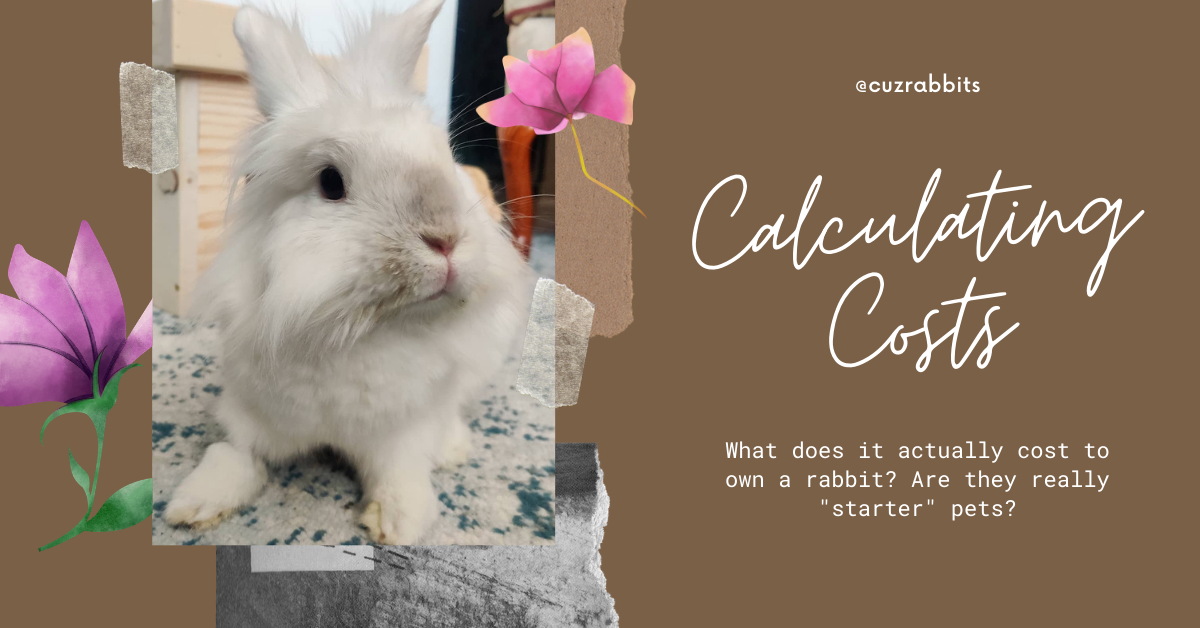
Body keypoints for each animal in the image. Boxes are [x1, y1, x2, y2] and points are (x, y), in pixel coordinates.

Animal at [163, 0, 533, 544]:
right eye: (331, 182)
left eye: (445, 159)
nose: (445, 238)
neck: (358, 330)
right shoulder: (250, 409)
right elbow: (234, 453)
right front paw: (193, 503)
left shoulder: (403, 430)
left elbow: (400, 470)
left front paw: (399, 521)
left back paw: (452, 448)